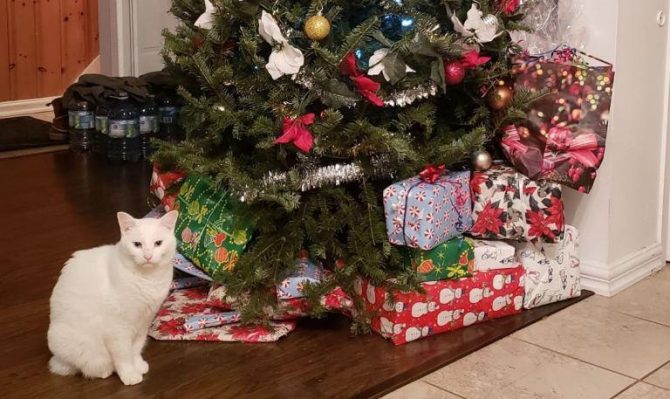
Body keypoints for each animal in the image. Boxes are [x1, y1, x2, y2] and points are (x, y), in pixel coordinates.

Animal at [48, 211, 178, 386]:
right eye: (137, 244)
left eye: (158, 243)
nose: (148, 256)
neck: (148, 280)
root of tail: (57, 358)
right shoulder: (118, 329)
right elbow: (124, 356)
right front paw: (130, 376)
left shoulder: (143, 323)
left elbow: (135, 349)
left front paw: (138, 365)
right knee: (83, 366)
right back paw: (104, 371)